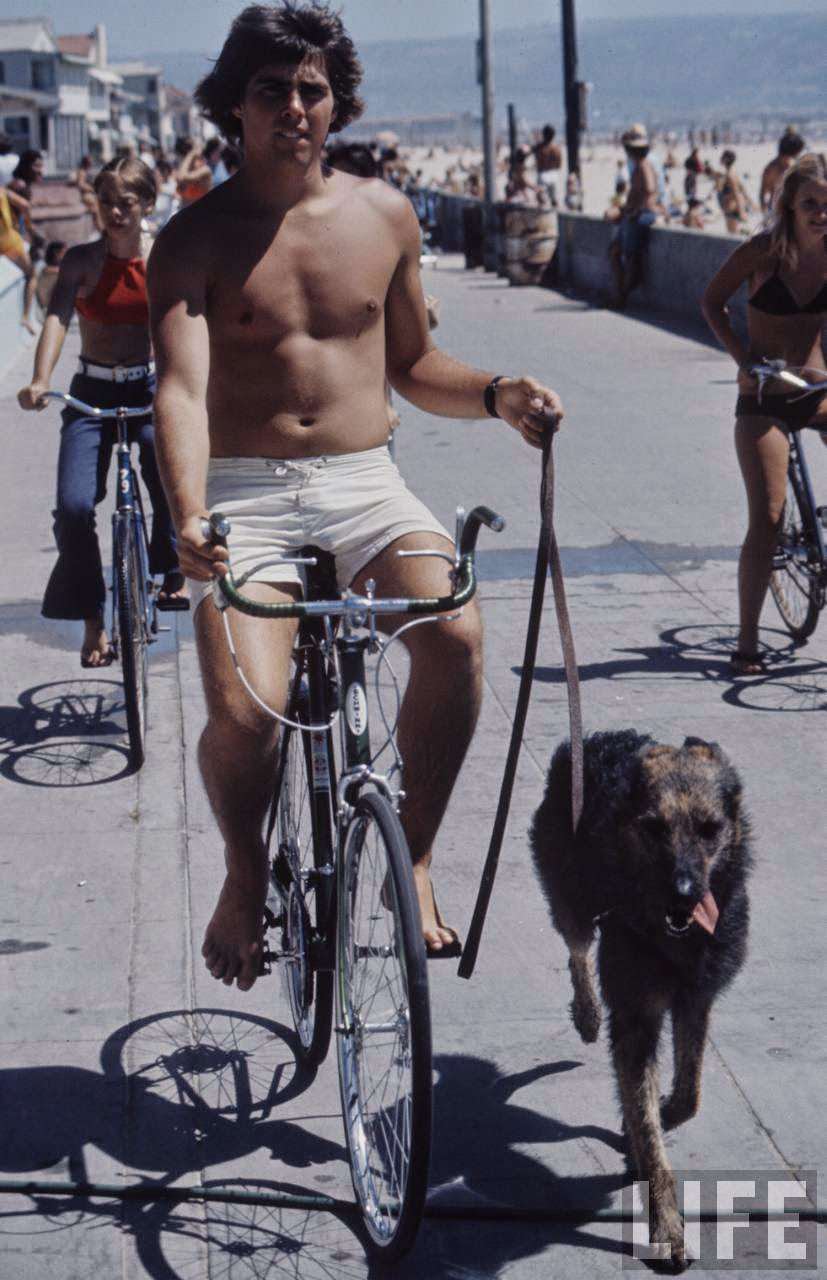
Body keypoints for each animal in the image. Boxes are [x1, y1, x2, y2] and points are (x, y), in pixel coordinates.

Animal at [532, 732, 752, 1269]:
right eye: (654, 828)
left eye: (709, 829)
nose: (684, 895)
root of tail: (594, 738)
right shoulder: (636, 1014)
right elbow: (650, 1132)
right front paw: (667, 1226)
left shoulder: (696, 997)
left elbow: (688, 1094)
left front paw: (651, 1119)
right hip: (571, 896)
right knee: (576, 947)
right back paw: (587, 1015)